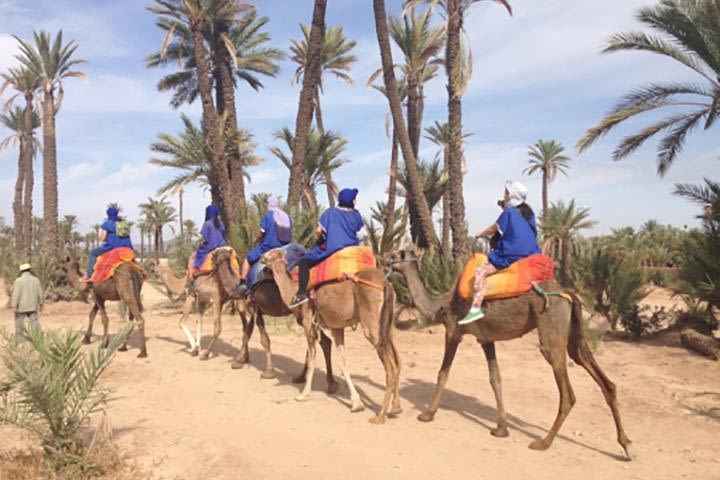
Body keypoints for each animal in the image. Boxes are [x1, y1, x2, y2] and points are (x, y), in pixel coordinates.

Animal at [262, 249, 402, 422]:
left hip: (372, 322)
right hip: (388, 325)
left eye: (271, 253)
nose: (261, 258)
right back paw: (396, 407)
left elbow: (312, 357)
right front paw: (356, 403)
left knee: (390, 367)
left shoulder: (308, 323)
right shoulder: (337, 327)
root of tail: (385, 283)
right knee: (397, 361)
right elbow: (343, 362)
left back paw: (380, 416)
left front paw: (303, 394)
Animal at [386, 249, 632, 460]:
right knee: (601, 377)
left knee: (567, 392)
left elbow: (443, 373)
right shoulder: (486, 338)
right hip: (573, 332)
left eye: (396, 255)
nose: (384, 258)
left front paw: (427, 414)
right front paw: (501, 428)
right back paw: (626, 445)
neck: (441, 303)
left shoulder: (453, 331)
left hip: (551, 325)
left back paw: (543, 442)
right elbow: (495, 378)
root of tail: (568, 293)